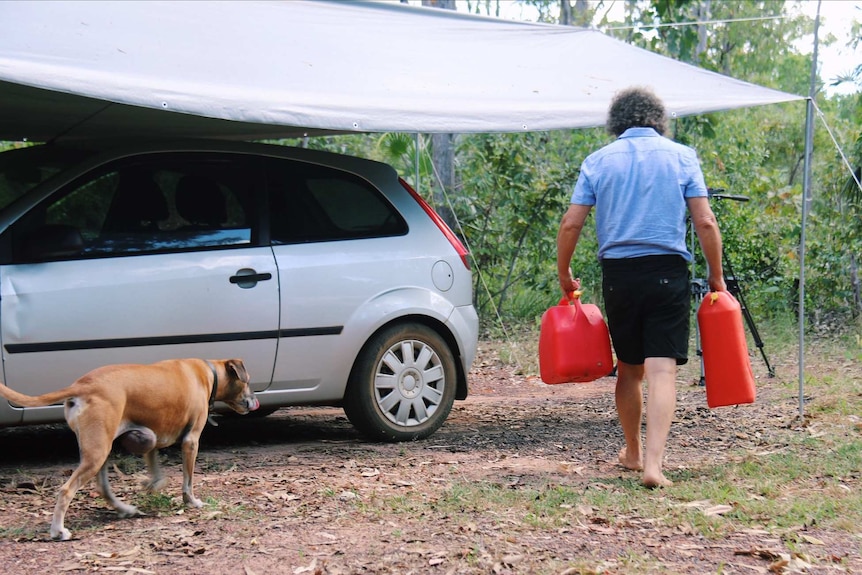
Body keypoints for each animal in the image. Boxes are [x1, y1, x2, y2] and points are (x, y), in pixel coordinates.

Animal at [0, 358, 260, 544]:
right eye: (247, 382)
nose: (254, 402)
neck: (208, 373)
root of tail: (81, 386)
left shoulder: (152, 437)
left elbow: (155, 467)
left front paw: (152, 484)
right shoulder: (191, 441)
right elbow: (188, 481)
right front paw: (192, 501)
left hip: (101, 451)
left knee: (103, 488)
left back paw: (125, 509)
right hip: (97, 452)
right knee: (66, 490)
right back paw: (58, 531)